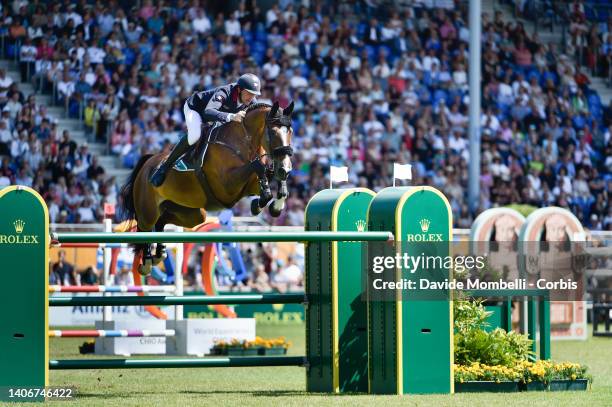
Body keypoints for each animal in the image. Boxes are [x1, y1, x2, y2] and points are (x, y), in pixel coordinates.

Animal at [119, 100, 294, 276]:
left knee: (162, 221)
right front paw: (261, 202)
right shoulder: (227, 185)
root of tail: (146, 164)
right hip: (148, 211)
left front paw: (271, 205)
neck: (242, 142)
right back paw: (147, 262)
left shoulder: (247, 185)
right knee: (145, 229)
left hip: (191, 214)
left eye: (291, 132)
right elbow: (259, 167)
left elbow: (270, 180)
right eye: (273, 133)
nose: (285, 169)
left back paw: (159, 253)